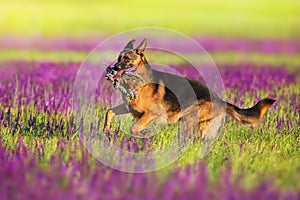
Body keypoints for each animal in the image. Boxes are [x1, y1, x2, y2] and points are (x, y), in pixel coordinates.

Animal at [103, 39, 276, 138]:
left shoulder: (151, 114)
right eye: (119, 58)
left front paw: (143, 133)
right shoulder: (129, 108)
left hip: (188, 120)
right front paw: (105, 131)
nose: (114, 68)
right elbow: (109, 112)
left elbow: (134, 128)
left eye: (127, 59)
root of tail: (219, 98)